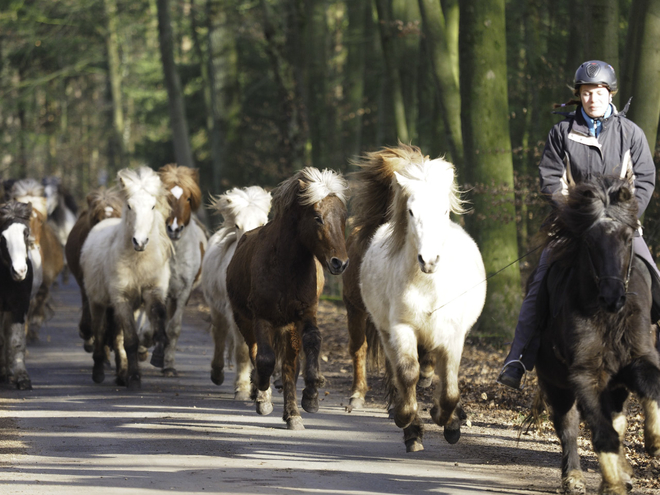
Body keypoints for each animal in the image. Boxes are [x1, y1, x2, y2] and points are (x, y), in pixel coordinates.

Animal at [81, 168, 173, 392]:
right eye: (130, 206)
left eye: (153, 205)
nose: (140, 242)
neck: (138, 260)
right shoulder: (121, 299)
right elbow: (130, 340)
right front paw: (134, 378)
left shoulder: (151, 292)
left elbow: (158, 317)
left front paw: (158, 351)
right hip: (98, 302)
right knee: (100, 331)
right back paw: (100, 371)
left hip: (131, 306)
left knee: (116, 336)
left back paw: (121, 374)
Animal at [202, 185, 272, 400]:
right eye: (237, 225)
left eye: (264, 222)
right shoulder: (237, 314)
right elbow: (242, 351)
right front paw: (242, 388)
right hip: (217, 308)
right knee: (219, 334)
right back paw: (217, 374)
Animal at [226, 168, 350, 430]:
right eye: (317, 217)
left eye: (343, 216)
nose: (340, 263)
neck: (285, 267)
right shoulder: (261, 317)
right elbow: (264, 359)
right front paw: (261, 389)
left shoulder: (305, 313)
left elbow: (311, 344)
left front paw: (312, 394)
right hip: (245, 320)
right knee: (256, 352)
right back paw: (262, 395)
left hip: (288, 327)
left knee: (290, 365)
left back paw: (293, 414)